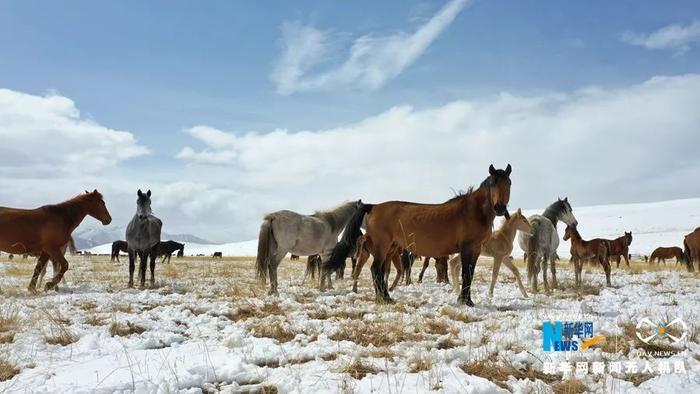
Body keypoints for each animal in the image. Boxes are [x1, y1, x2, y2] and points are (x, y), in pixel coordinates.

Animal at [326, 163, 512, 304]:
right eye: (493, 183)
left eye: (508, 183)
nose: (500, 208)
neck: (472, 211)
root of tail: (373, 206)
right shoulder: (467, 248)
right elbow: (466, 274)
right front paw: (465, 301)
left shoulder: (476, 250)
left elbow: (470, 274)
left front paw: (467, 300)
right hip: (382, 247)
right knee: (376, 270)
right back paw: (385, 298)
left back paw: (384, 297)